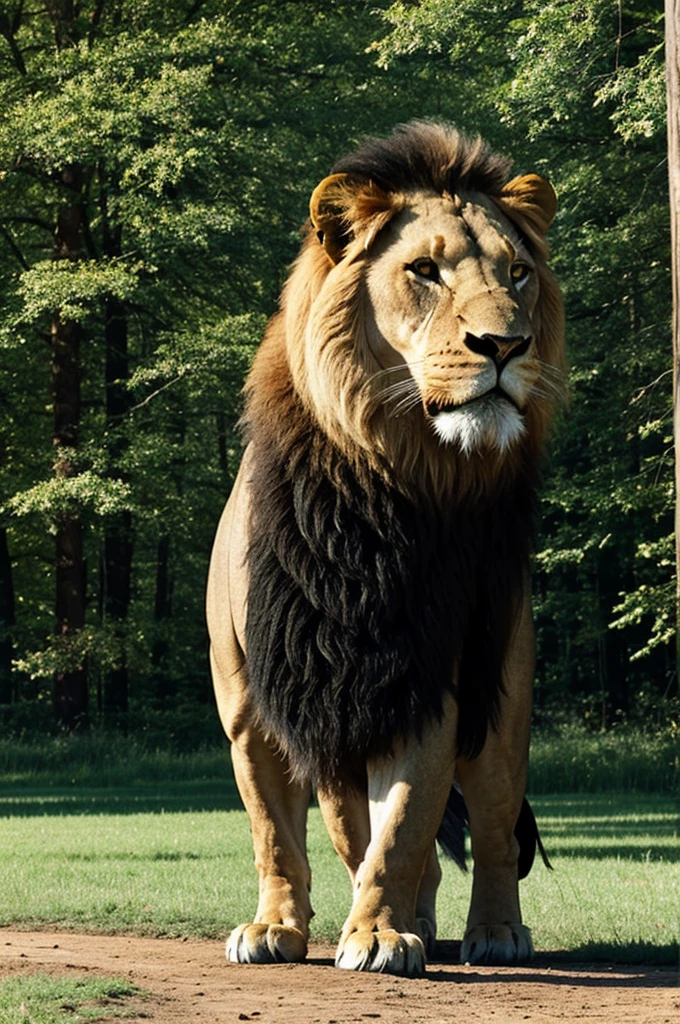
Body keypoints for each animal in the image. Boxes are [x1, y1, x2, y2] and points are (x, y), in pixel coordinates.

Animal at [205, 123, 561, 978]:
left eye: (519, 272)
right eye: (423, 271)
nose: (506, 344)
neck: (376, 492)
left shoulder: (428, 679)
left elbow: (401, 826)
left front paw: (376, 937)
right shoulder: (256, 706)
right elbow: (282, 834)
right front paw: (276, 927)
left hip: (503, 704)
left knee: (493, 834)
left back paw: (494, 932)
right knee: (365, 836)